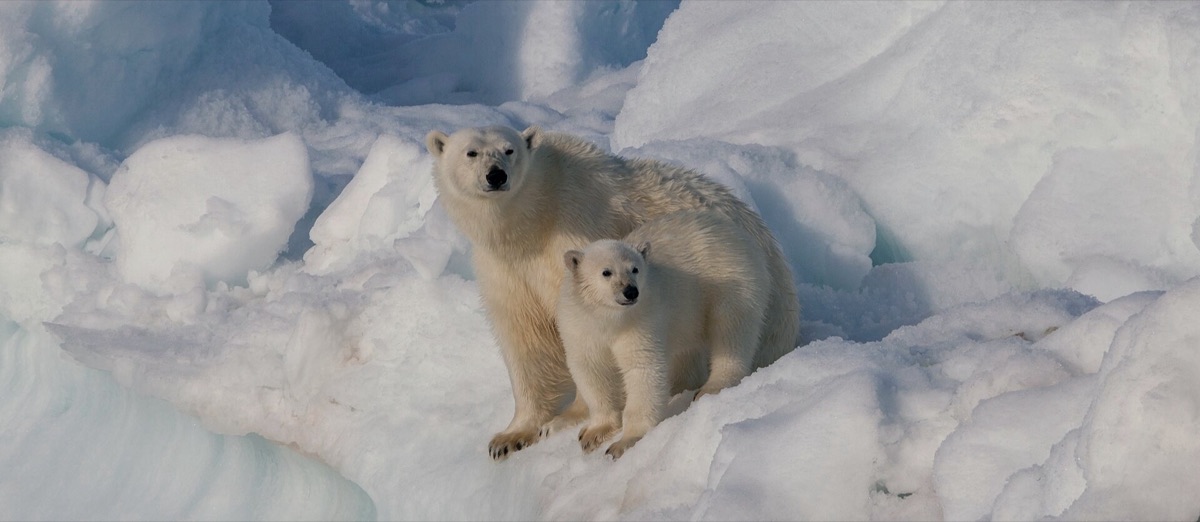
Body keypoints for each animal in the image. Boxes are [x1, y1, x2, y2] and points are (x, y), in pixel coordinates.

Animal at [558, 210, 771, 459]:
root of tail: (741, 234)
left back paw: (712, 386)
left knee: (731, 332)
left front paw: (623, 443)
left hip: (732, 282)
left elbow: (642, 369)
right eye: (606, 272)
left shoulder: (641, 321)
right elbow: (592, 371)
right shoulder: (579, 328)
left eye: (635, 269)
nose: (630, 291)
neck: (609, 320)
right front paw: (592, 435)